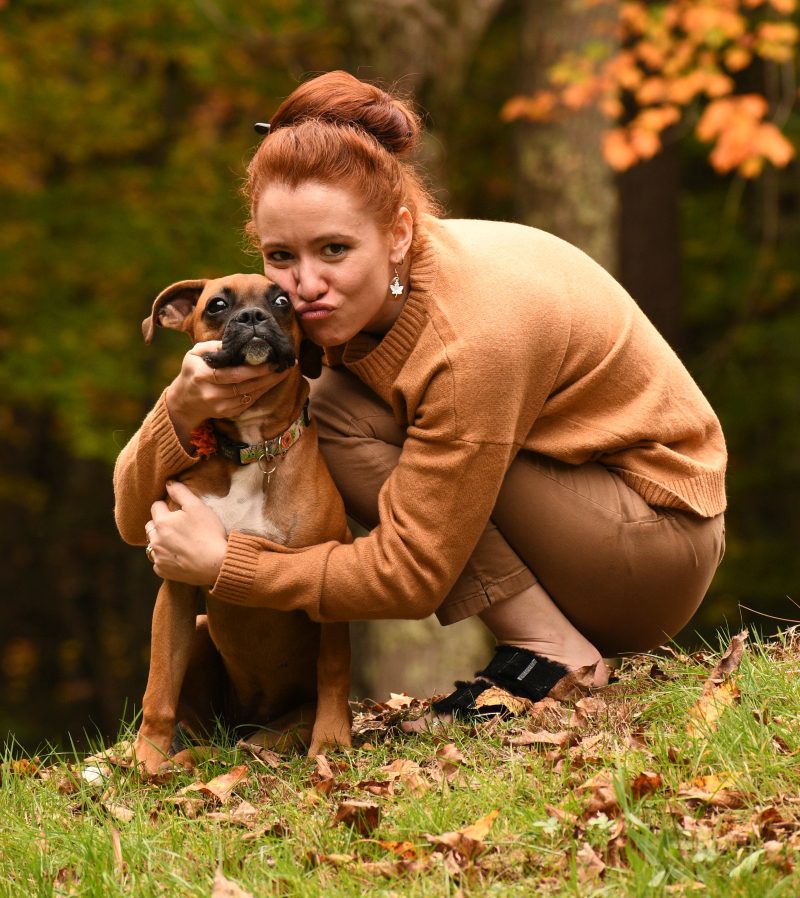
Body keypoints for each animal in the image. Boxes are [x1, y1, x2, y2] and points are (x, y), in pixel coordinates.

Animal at [133, 272, 352, 768]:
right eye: (216, 305)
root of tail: (244, 727)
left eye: (282, 301)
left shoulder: (329, 574)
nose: (253, 317)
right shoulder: (176, 587)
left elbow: (333, 669)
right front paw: (145, 760)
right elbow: (159, 685)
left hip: (275, 729)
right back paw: (180, 754)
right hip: (198, 633)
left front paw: (332, 743)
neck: (257, 449)